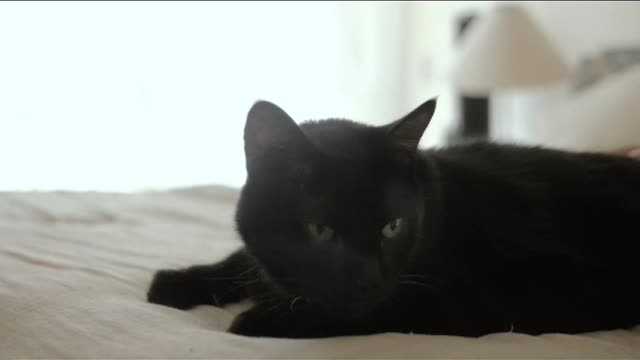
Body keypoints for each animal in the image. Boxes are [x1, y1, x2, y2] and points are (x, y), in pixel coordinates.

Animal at [148, 98, 640, 338]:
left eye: (392, 226)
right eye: (319, 229)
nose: (367, 278)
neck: (440, 212)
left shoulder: (510, 294)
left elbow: (390, 307)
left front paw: (264, 320)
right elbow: (246, 260)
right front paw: (178, 282)